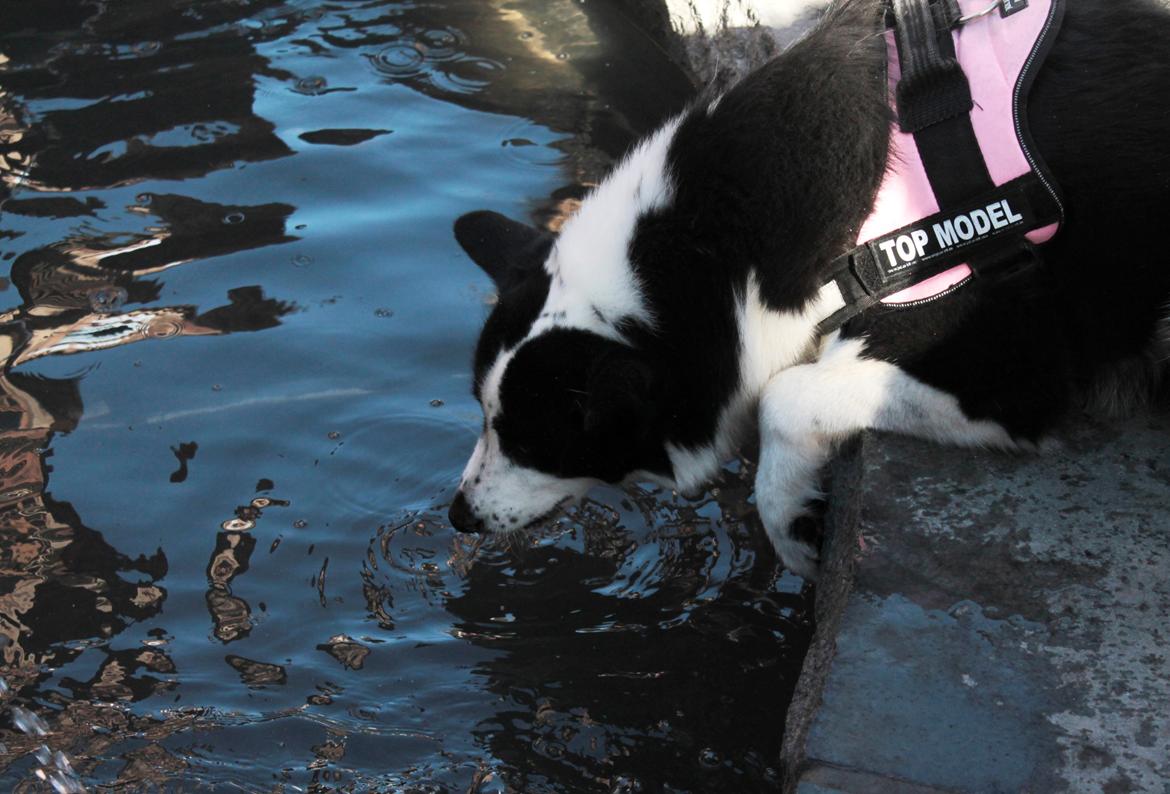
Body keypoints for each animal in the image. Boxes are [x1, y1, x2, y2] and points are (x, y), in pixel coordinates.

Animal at [444, 0, 1170, 577]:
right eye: (482, 414)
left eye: (534, 440)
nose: (457, 518)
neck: (722, 242)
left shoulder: (1008, 369)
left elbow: (782, 395)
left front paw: (792, 524)